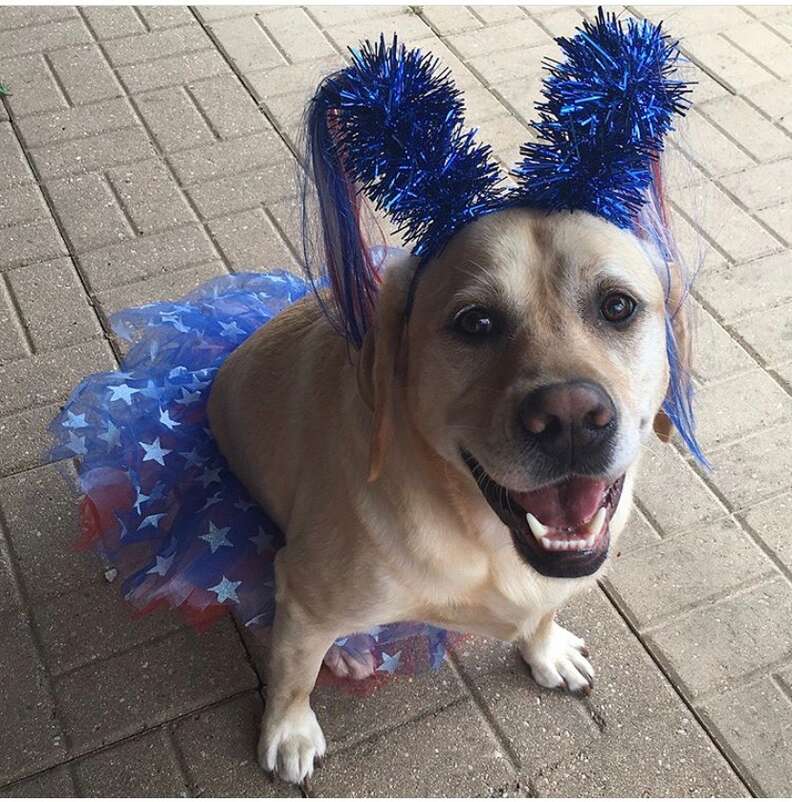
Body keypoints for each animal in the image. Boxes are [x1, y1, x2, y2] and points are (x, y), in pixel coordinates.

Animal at [209, 202, 688, 780]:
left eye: (617, 306)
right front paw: (289, 730)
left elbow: (544, 611)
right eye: (475, 322)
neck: (483, 537)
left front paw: (546, 649)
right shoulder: (303, 593)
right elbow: (292, 673)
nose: (571, 418)